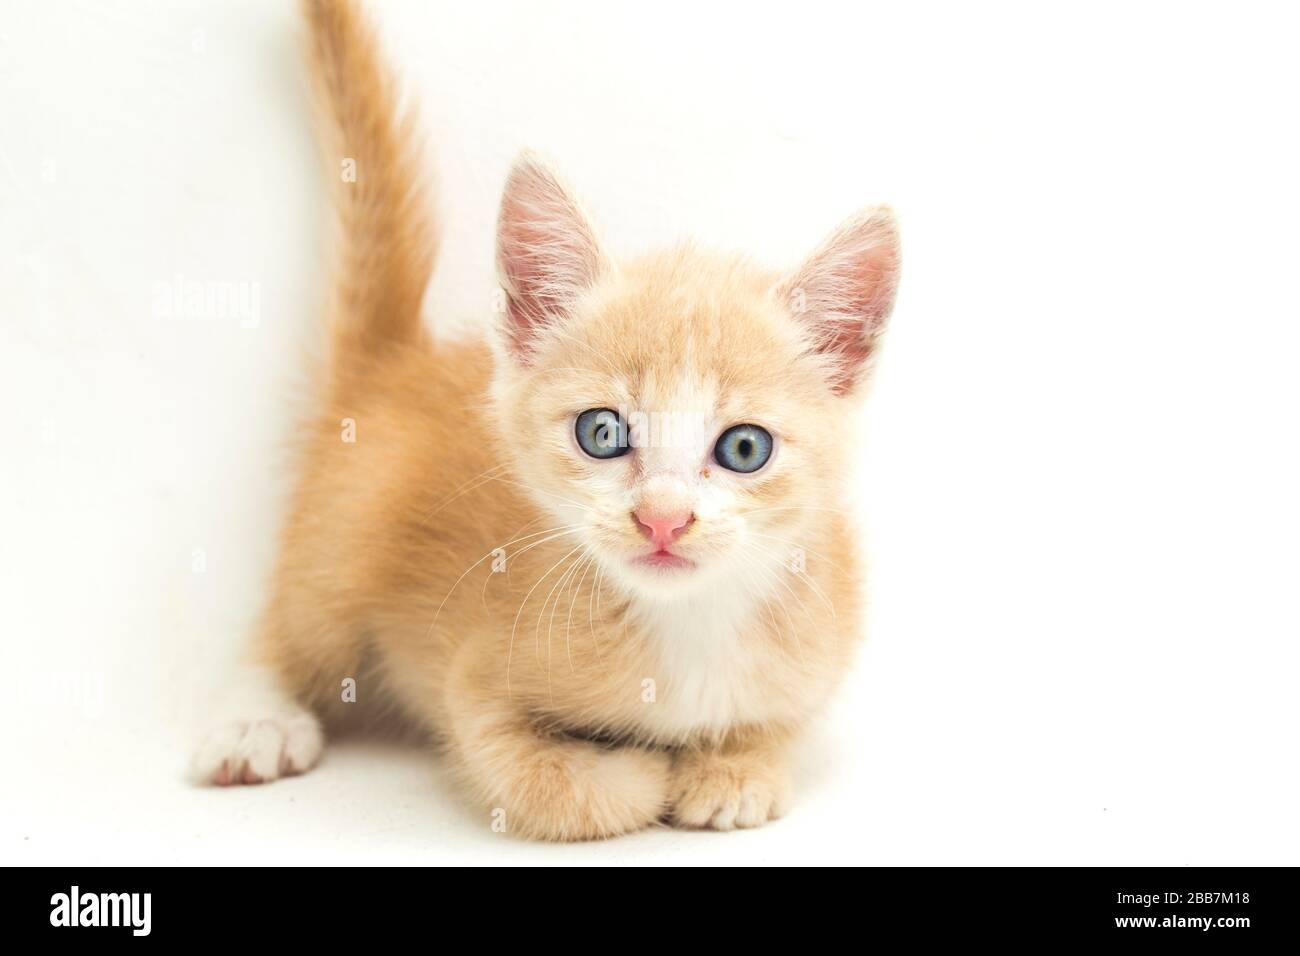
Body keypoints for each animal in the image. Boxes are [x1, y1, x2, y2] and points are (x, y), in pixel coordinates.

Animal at [189, 0, 904, 837]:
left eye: (744, 448)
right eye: (603, 433)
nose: (664, 519)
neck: (686, 624)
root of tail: (397, 361)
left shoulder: (820, 648)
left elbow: (777, 730)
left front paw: (734, 772)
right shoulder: (471, 677)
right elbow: (542, 781)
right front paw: (638, 774)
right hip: (344, 535)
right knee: (290, 623)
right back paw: (255, 721)